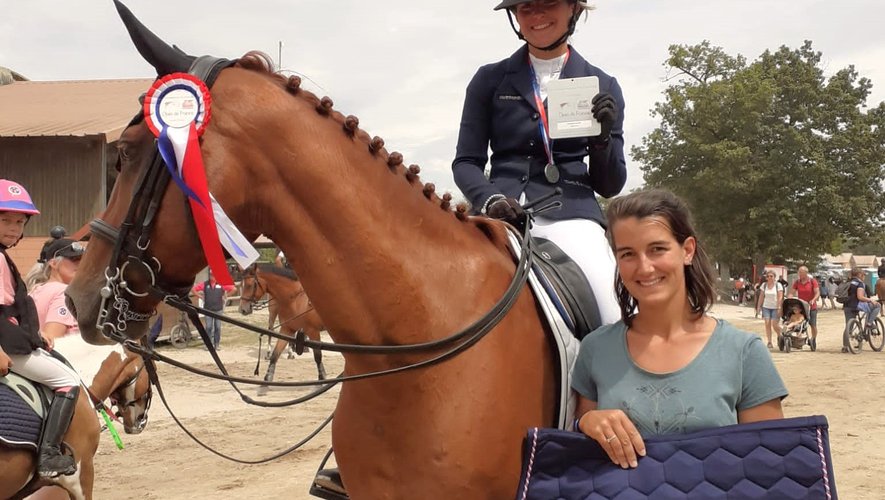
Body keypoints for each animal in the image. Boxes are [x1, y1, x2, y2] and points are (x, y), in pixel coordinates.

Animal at [238, 262, 328, 390]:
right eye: (241, 285)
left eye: (250, 285)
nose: (242, 309)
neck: (296, 299)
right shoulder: (287, 329)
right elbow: (275, 355)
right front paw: (267, 379)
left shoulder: (313, 331)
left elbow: (318, 356)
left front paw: (321, 379)